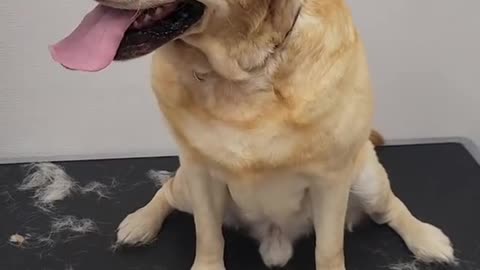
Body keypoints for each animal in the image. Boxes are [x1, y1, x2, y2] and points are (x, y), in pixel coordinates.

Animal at [50, 0, 456, 270]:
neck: (244, 71)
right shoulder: (200, 173)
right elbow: (208, 238)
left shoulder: (331, 181)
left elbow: (328, 250)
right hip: (186, 187)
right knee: (165, 190)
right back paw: (140, 222)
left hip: (366, 181)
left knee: (392, 209)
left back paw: (426, 238)